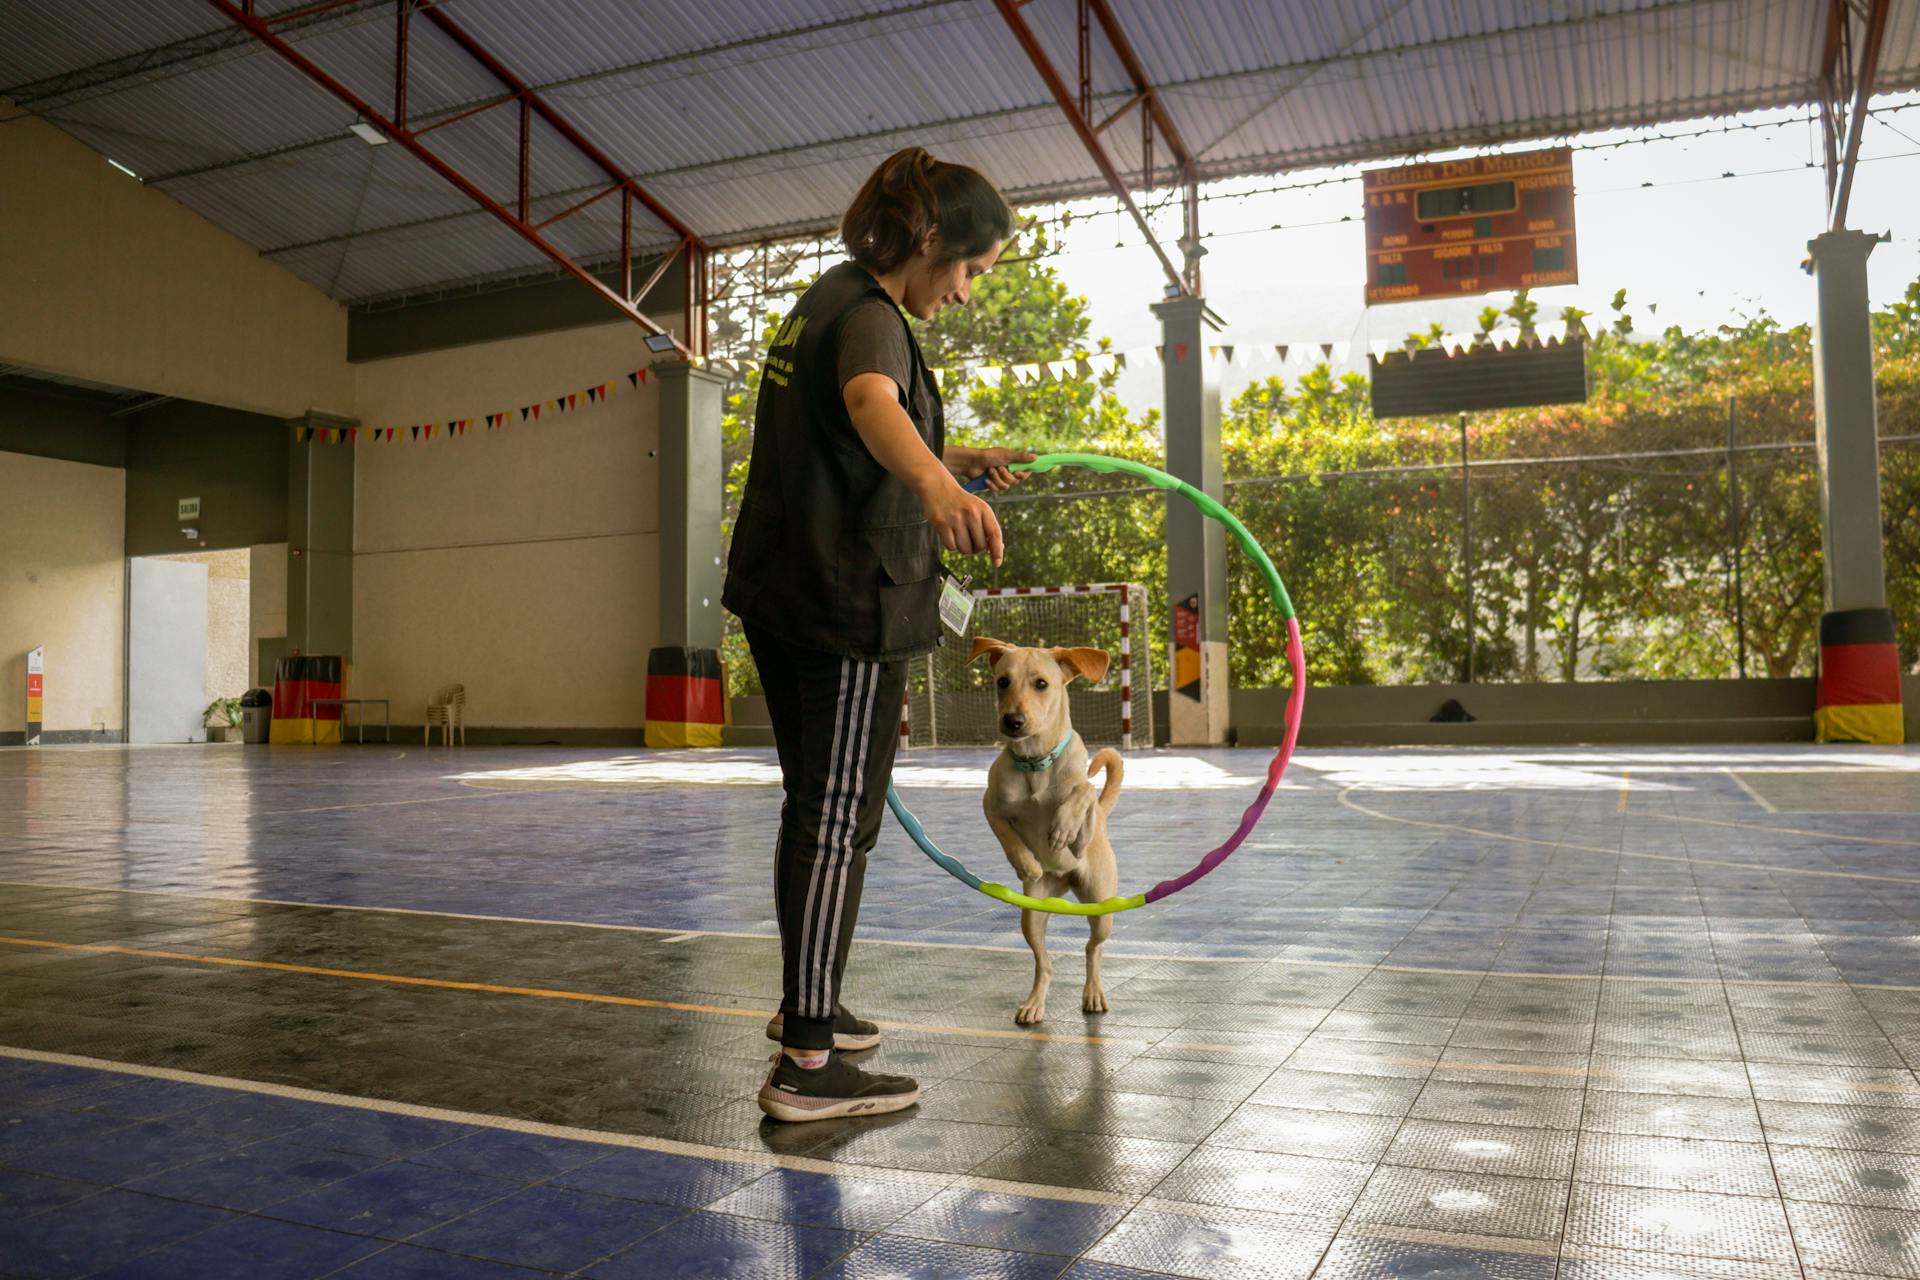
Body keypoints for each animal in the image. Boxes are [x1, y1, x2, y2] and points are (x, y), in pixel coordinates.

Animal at [975, 637, 1121, 1028]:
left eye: (1041, 684)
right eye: (1002, 681)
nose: (1012, 721)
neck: (1035, 764)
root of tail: (1064, 882)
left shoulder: (1087, 812)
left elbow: (1084, 791)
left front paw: (1062, 828)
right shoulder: (990, 804)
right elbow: (1006, 834)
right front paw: (1025, 863)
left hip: (1101, 908)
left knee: (1093, 950)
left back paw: (1093, 993)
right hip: (1032, 916)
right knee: (1045, 963)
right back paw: (1034, 1004)